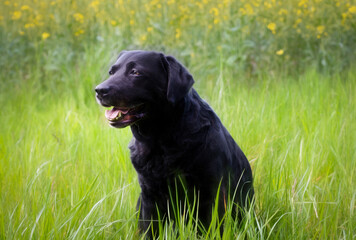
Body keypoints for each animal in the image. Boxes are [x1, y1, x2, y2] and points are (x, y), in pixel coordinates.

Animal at [95, 50, 253, 236]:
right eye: (111, 72)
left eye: (135, 72)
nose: (99, 90)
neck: (160, 141)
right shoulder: (149, 197)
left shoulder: (212, 194)